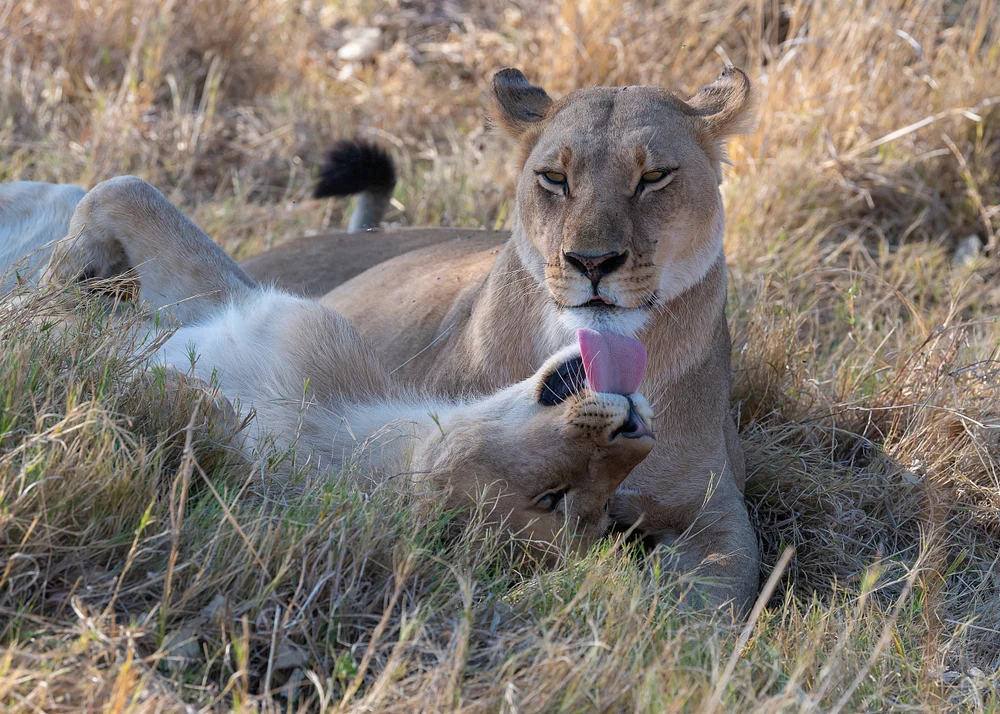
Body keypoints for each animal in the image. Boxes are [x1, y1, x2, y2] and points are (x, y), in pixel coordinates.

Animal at [1, 175, 655, 555]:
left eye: (553, 499)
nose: (633, 428)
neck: (347, 423)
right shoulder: (243, 304)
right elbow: (123, 191)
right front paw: (54, 292)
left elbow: (152, 396)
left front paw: (54, 341)